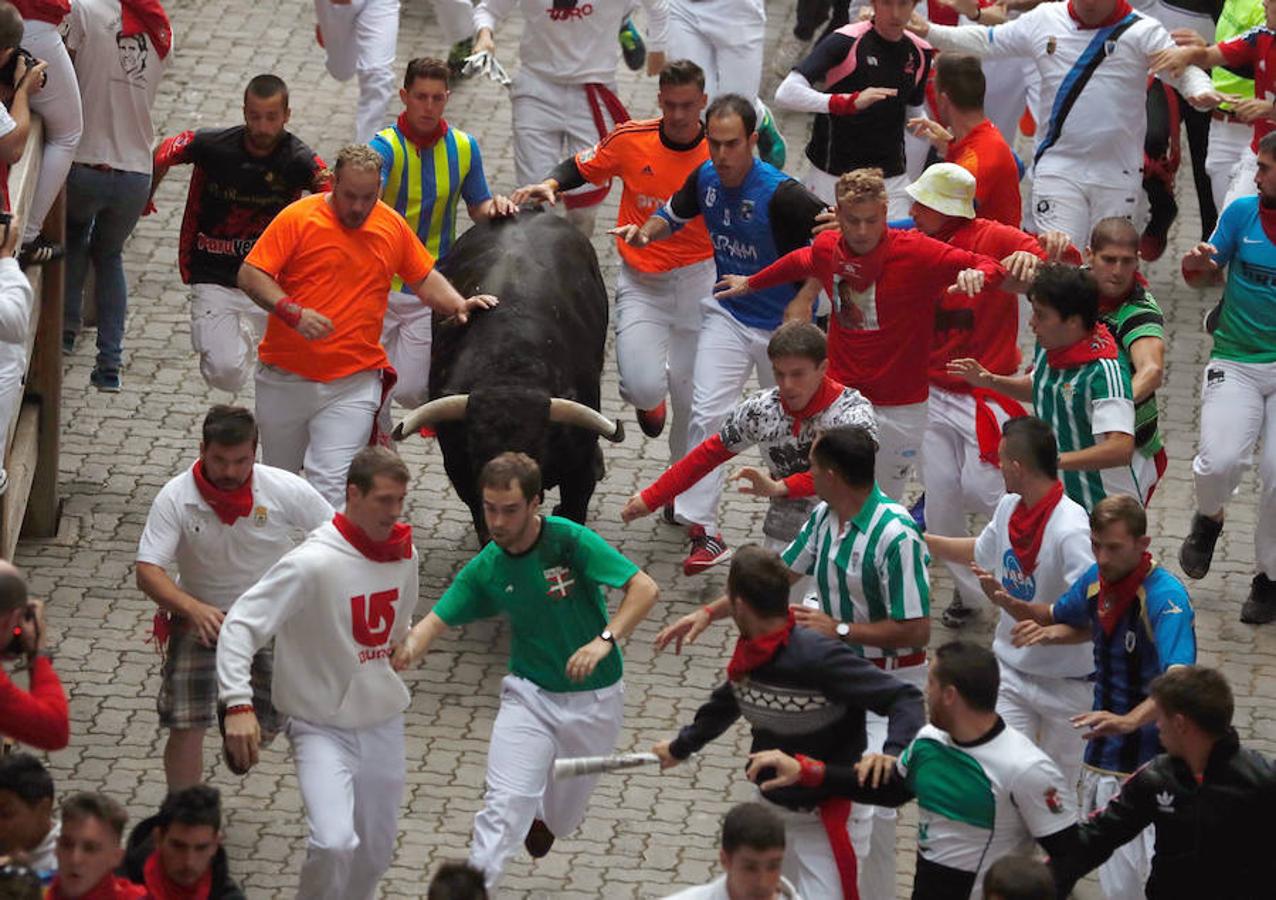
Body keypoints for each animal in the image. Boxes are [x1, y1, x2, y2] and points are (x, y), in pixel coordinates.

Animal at [390, 211, 625, 533]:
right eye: (477, 443)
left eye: (535, 444)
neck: (509, 369)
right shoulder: (462, 473)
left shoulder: (580, 467)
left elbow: (574, 509)